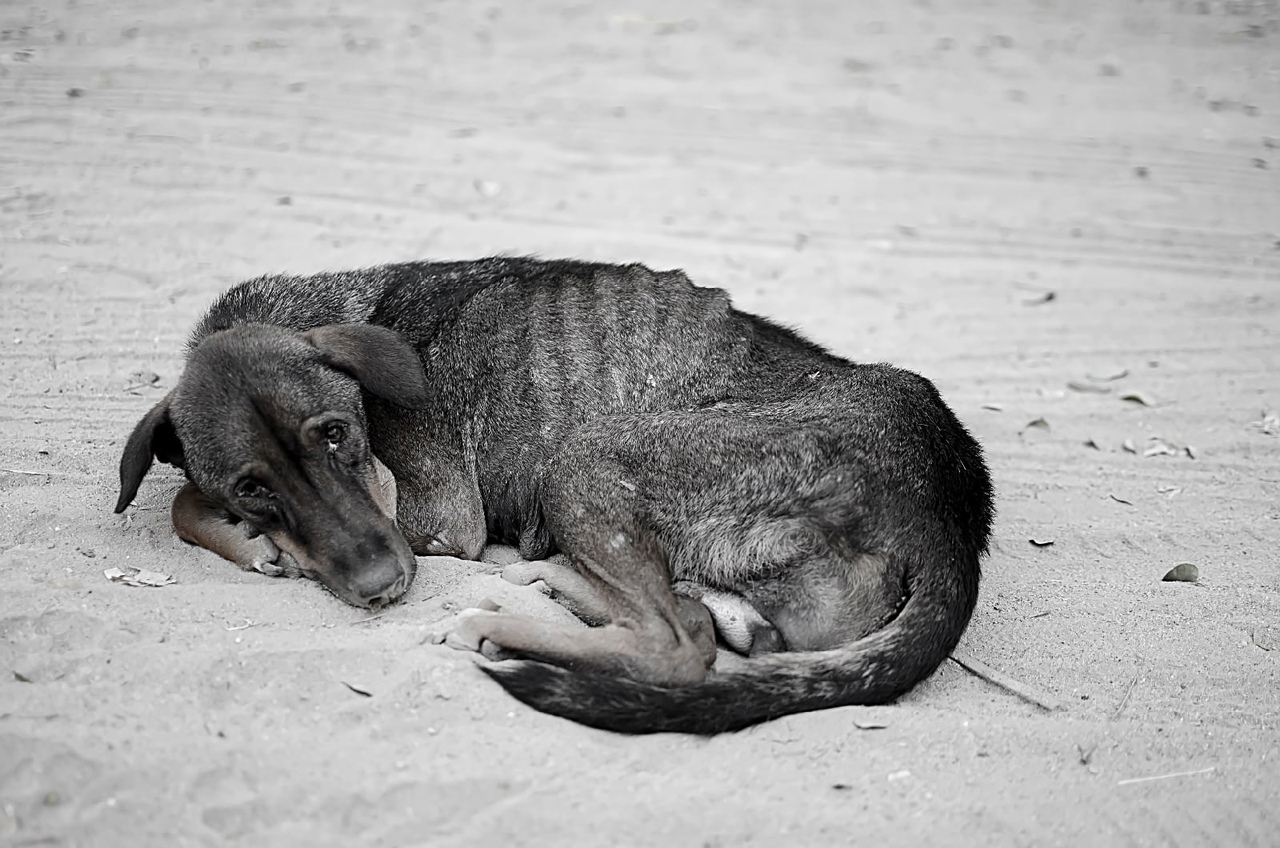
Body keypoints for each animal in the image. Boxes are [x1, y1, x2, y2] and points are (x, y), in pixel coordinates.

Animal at [115, 258, 993, 737]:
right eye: (251, 485)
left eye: (335, 434)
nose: (380, 588)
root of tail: (948, 505)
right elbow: (183, 498)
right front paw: (250, 536)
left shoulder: (438, 515)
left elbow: (191, 503)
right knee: (689, 618)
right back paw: (548, 582)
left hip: (585, 459)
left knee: (676, 644)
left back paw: (499, 623)